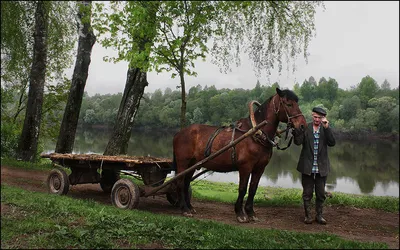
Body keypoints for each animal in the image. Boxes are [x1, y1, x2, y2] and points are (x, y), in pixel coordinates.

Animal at [172, 88, 306, 223]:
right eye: (289, 104)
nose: (302, 126)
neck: (255, 134)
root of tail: (179, 133)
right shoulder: (245, 167)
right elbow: (242, 188)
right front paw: (240, 213)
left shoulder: (259, 168)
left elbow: (253, 189)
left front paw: (250, 212)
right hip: (183, 162)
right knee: (180, 182)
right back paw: (185, 209)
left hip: (192, 164)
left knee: (186, 183)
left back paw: (190, 207)